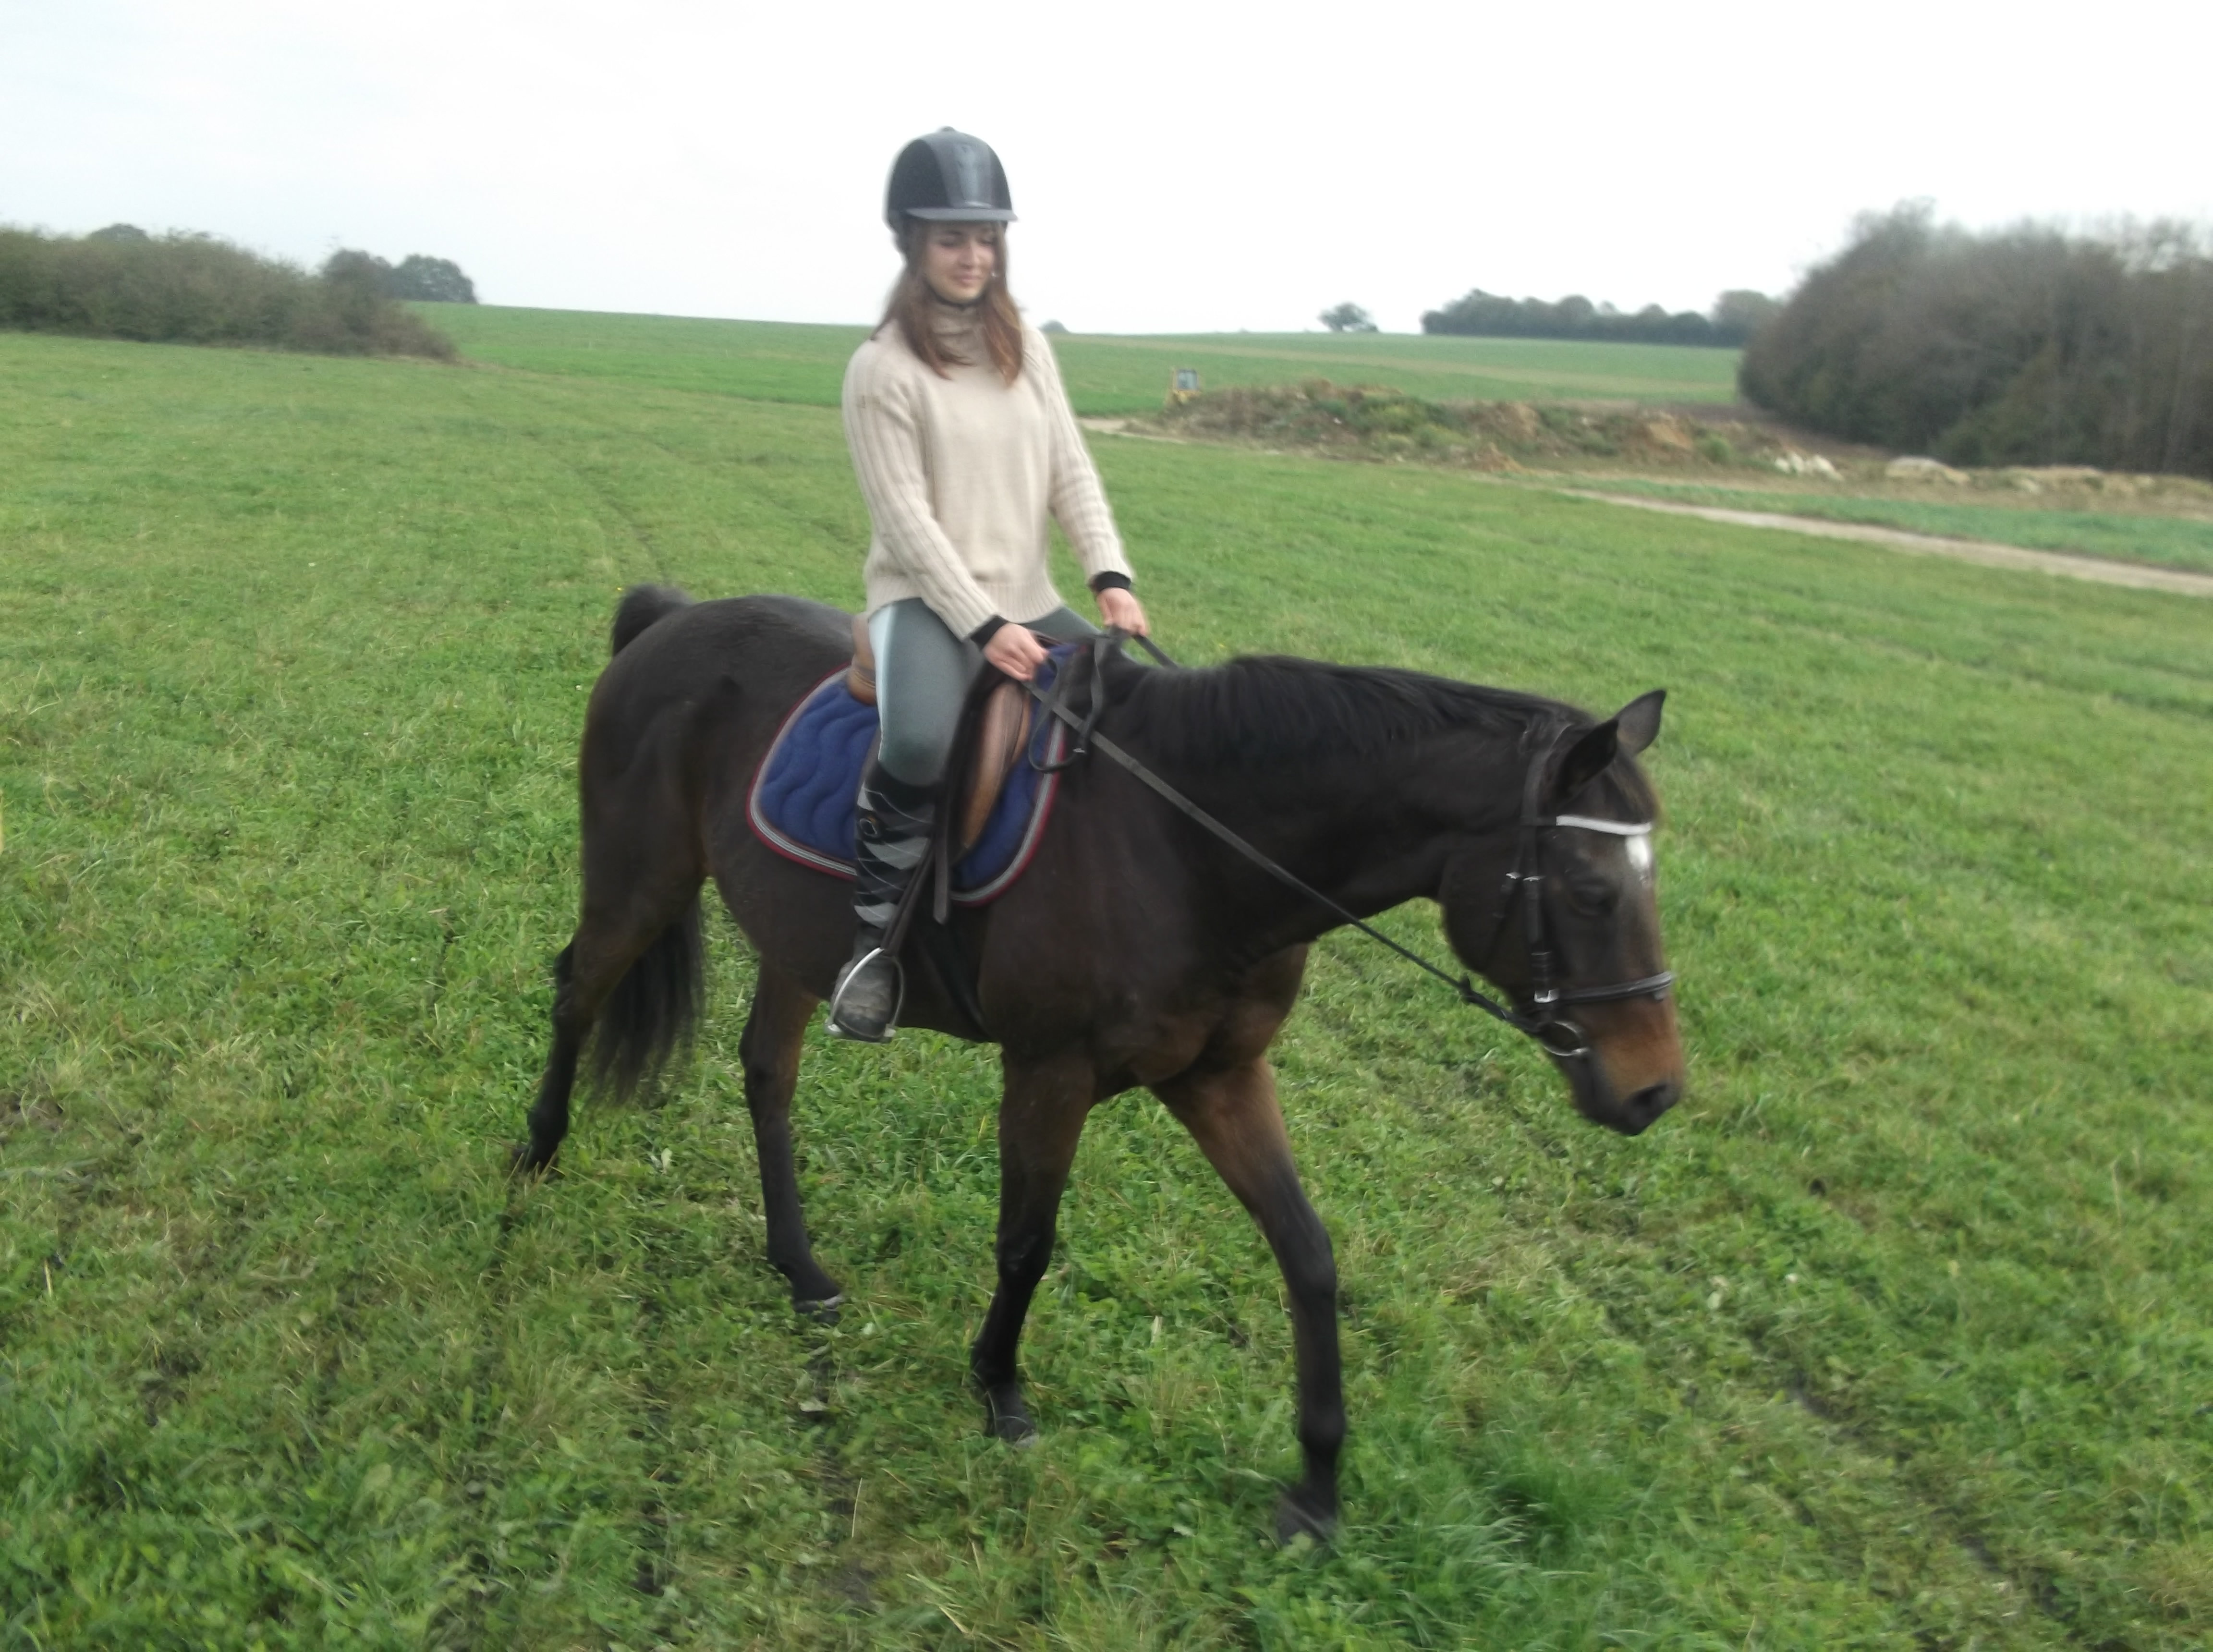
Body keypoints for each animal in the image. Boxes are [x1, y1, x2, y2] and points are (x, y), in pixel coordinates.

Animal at [513, 587, 1684, 1540]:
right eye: (1590, 891)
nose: (1655, 1089)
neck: (1192, 849)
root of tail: (670, 619)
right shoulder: (1050, 1069)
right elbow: (1028, 1241)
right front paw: (999, 1388)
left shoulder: (1220, 1077)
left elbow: (1307, 1254)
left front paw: (1316, 1487)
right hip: (641, 876)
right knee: (578, 991)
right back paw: (536, 1157)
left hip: (793, 935)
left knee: (766, 1072)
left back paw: (799, 1268)